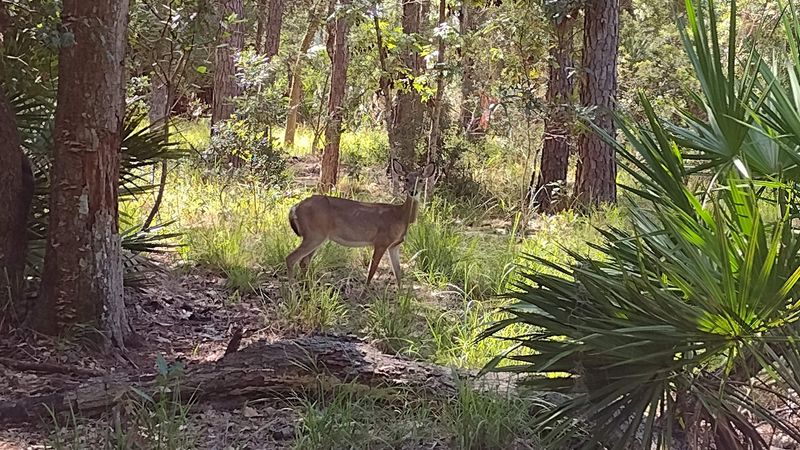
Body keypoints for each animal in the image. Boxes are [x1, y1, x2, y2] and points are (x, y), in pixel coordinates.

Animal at [286, 159, 436, 286]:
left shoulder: (394, 246)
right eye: (406, 179)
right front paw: (365, 295)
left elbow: (398, 275)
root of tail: (295, 207)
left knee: (304, 261)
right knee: (291, 258)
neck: (401, 216)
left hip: (317, 236)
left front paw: (401, 299)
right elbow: (371, 273)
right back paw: (292, 291)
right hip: (314, 234)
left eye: (421, 180)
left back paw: (307, 287)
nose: (412, 191)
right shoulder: (381, 241)